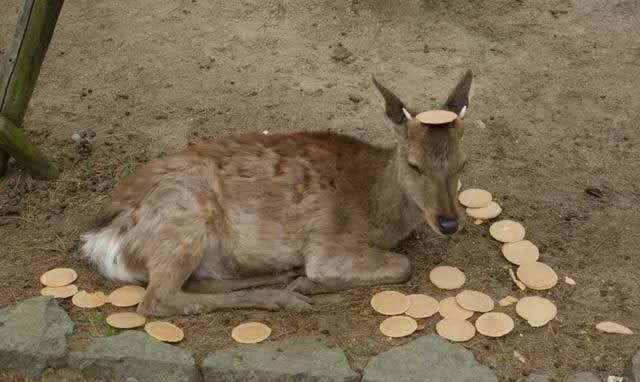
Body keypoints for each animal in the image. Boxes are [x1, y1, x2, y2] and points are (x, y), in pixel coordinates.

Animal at [80, 71, 472, 316]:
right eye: (414, 164)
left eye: (462, 163)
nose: (449, 223)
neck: (378, 212)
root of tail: (98, 240)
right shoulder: (328, 245)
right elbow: (403, 265)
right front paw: (310, 283)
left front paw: (302, 281)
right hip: (184, 215)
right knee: (157, 300)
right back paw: (285, 297)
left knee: (194, 284)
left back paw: (283, 279)